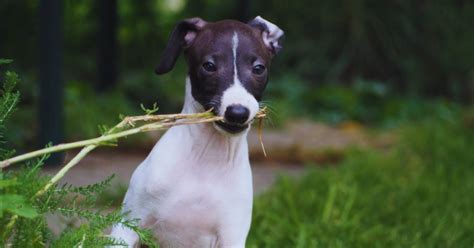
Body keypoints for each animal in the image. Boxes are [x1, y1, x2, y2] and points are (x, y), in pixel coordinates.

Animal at [109, 16, 284, 247]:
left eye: (258, 68)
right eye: (209, 66)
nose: (237, 113)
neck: (206, 160)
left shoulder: (232, 235)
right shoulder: (127, 226)